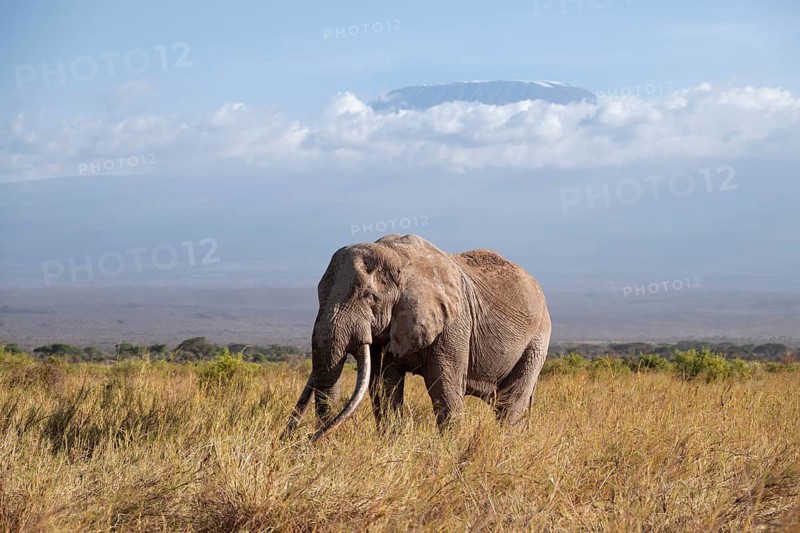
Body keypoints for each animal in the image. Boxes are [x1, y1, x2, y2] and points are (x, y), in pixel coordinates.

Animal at [282, 234, 551, 442]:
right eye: (318, 293)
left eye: (369, 296)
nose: (307, 440)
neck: (397, 255)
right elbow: (383, 385)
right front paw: (390, 443)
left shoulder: (454, 322)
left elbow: (444, 386)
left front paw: (449, 450)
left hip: (537, 341)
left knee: (510, 403)